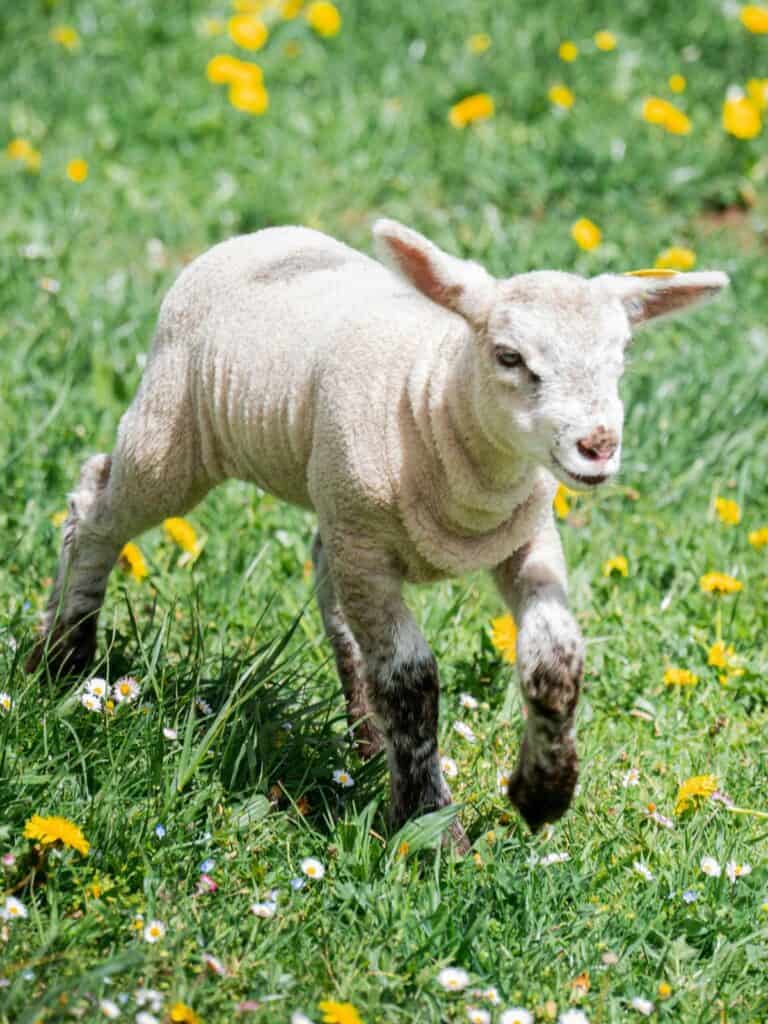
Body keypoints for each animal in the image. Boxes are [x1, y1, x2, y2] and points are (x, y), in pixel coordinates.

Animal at [27, 219, 728, 849]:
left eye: (622, 358)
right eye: (510, 357)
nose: (598, 446)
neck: (435, 401)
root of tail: (259, 236)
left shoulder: (526, 540)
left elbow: (555, 660)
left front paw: (542, 792)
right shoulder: (367, 546)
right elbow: (410, 679)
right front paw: (432, 827)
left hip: (331, 501)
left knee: (327, 583)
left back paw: (365, 737)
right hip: (174, 433)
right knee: (95, 501)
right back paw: (61, 659)